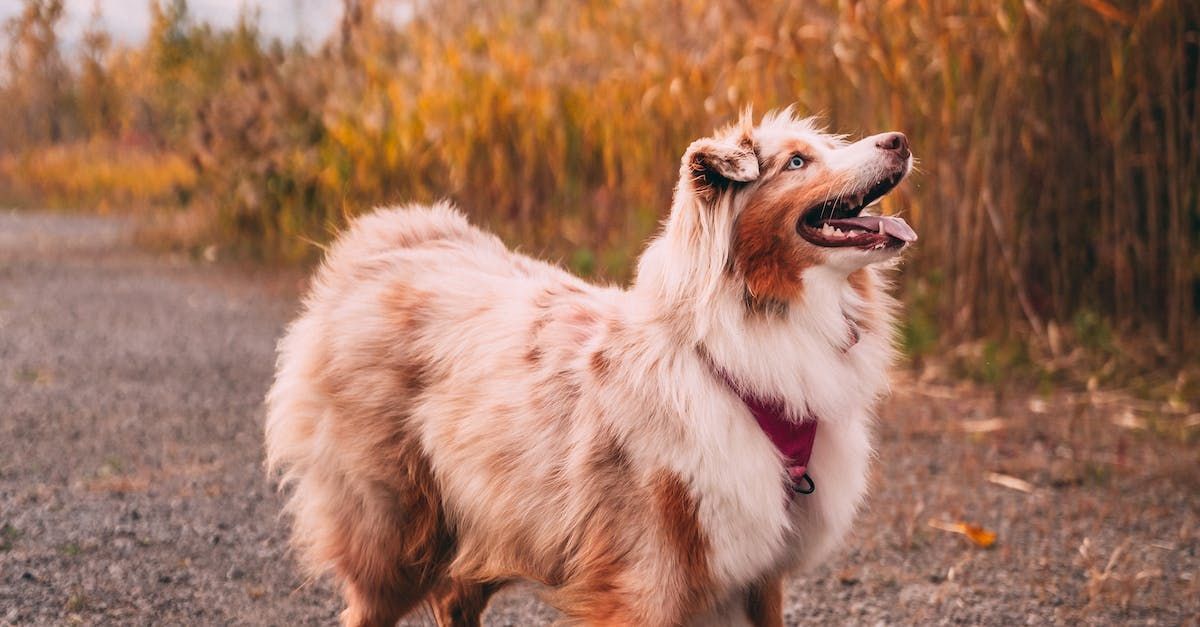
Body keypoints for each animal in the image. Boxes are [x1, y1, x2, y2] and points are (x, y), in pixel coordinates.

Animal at [267, 109, 912, 619]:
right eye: (798, 162)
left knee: (455, 600)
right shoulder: (645, 577)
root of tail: (388, 240)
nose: (900, 139)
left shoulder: (758, 574)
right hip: (393, 534)